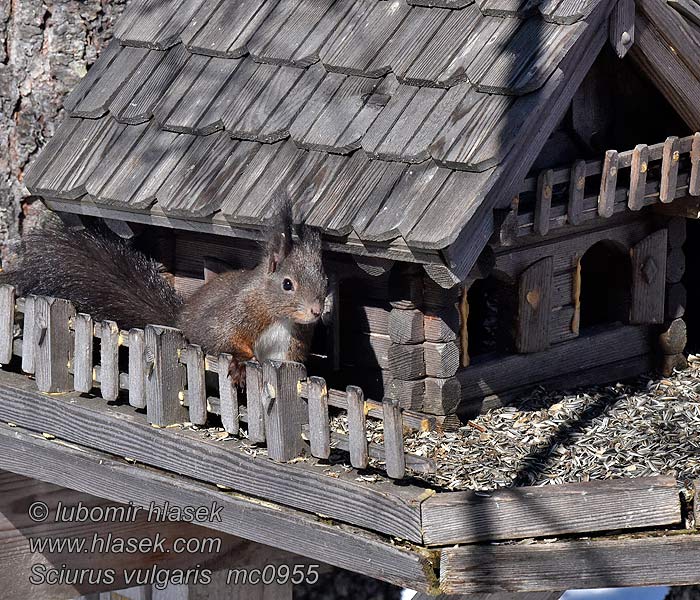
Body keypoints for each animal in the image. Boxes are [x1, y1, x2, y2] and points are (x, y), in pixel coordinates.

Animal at [4, 202, 330, 378]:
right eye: (287, 284)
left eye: (326, 282)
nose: (316, 311)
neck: (278, 316)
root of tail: (177, 320)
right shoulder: (234, 314)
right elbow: (220, 336)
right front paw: (241, 363)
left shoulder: (291, 344)